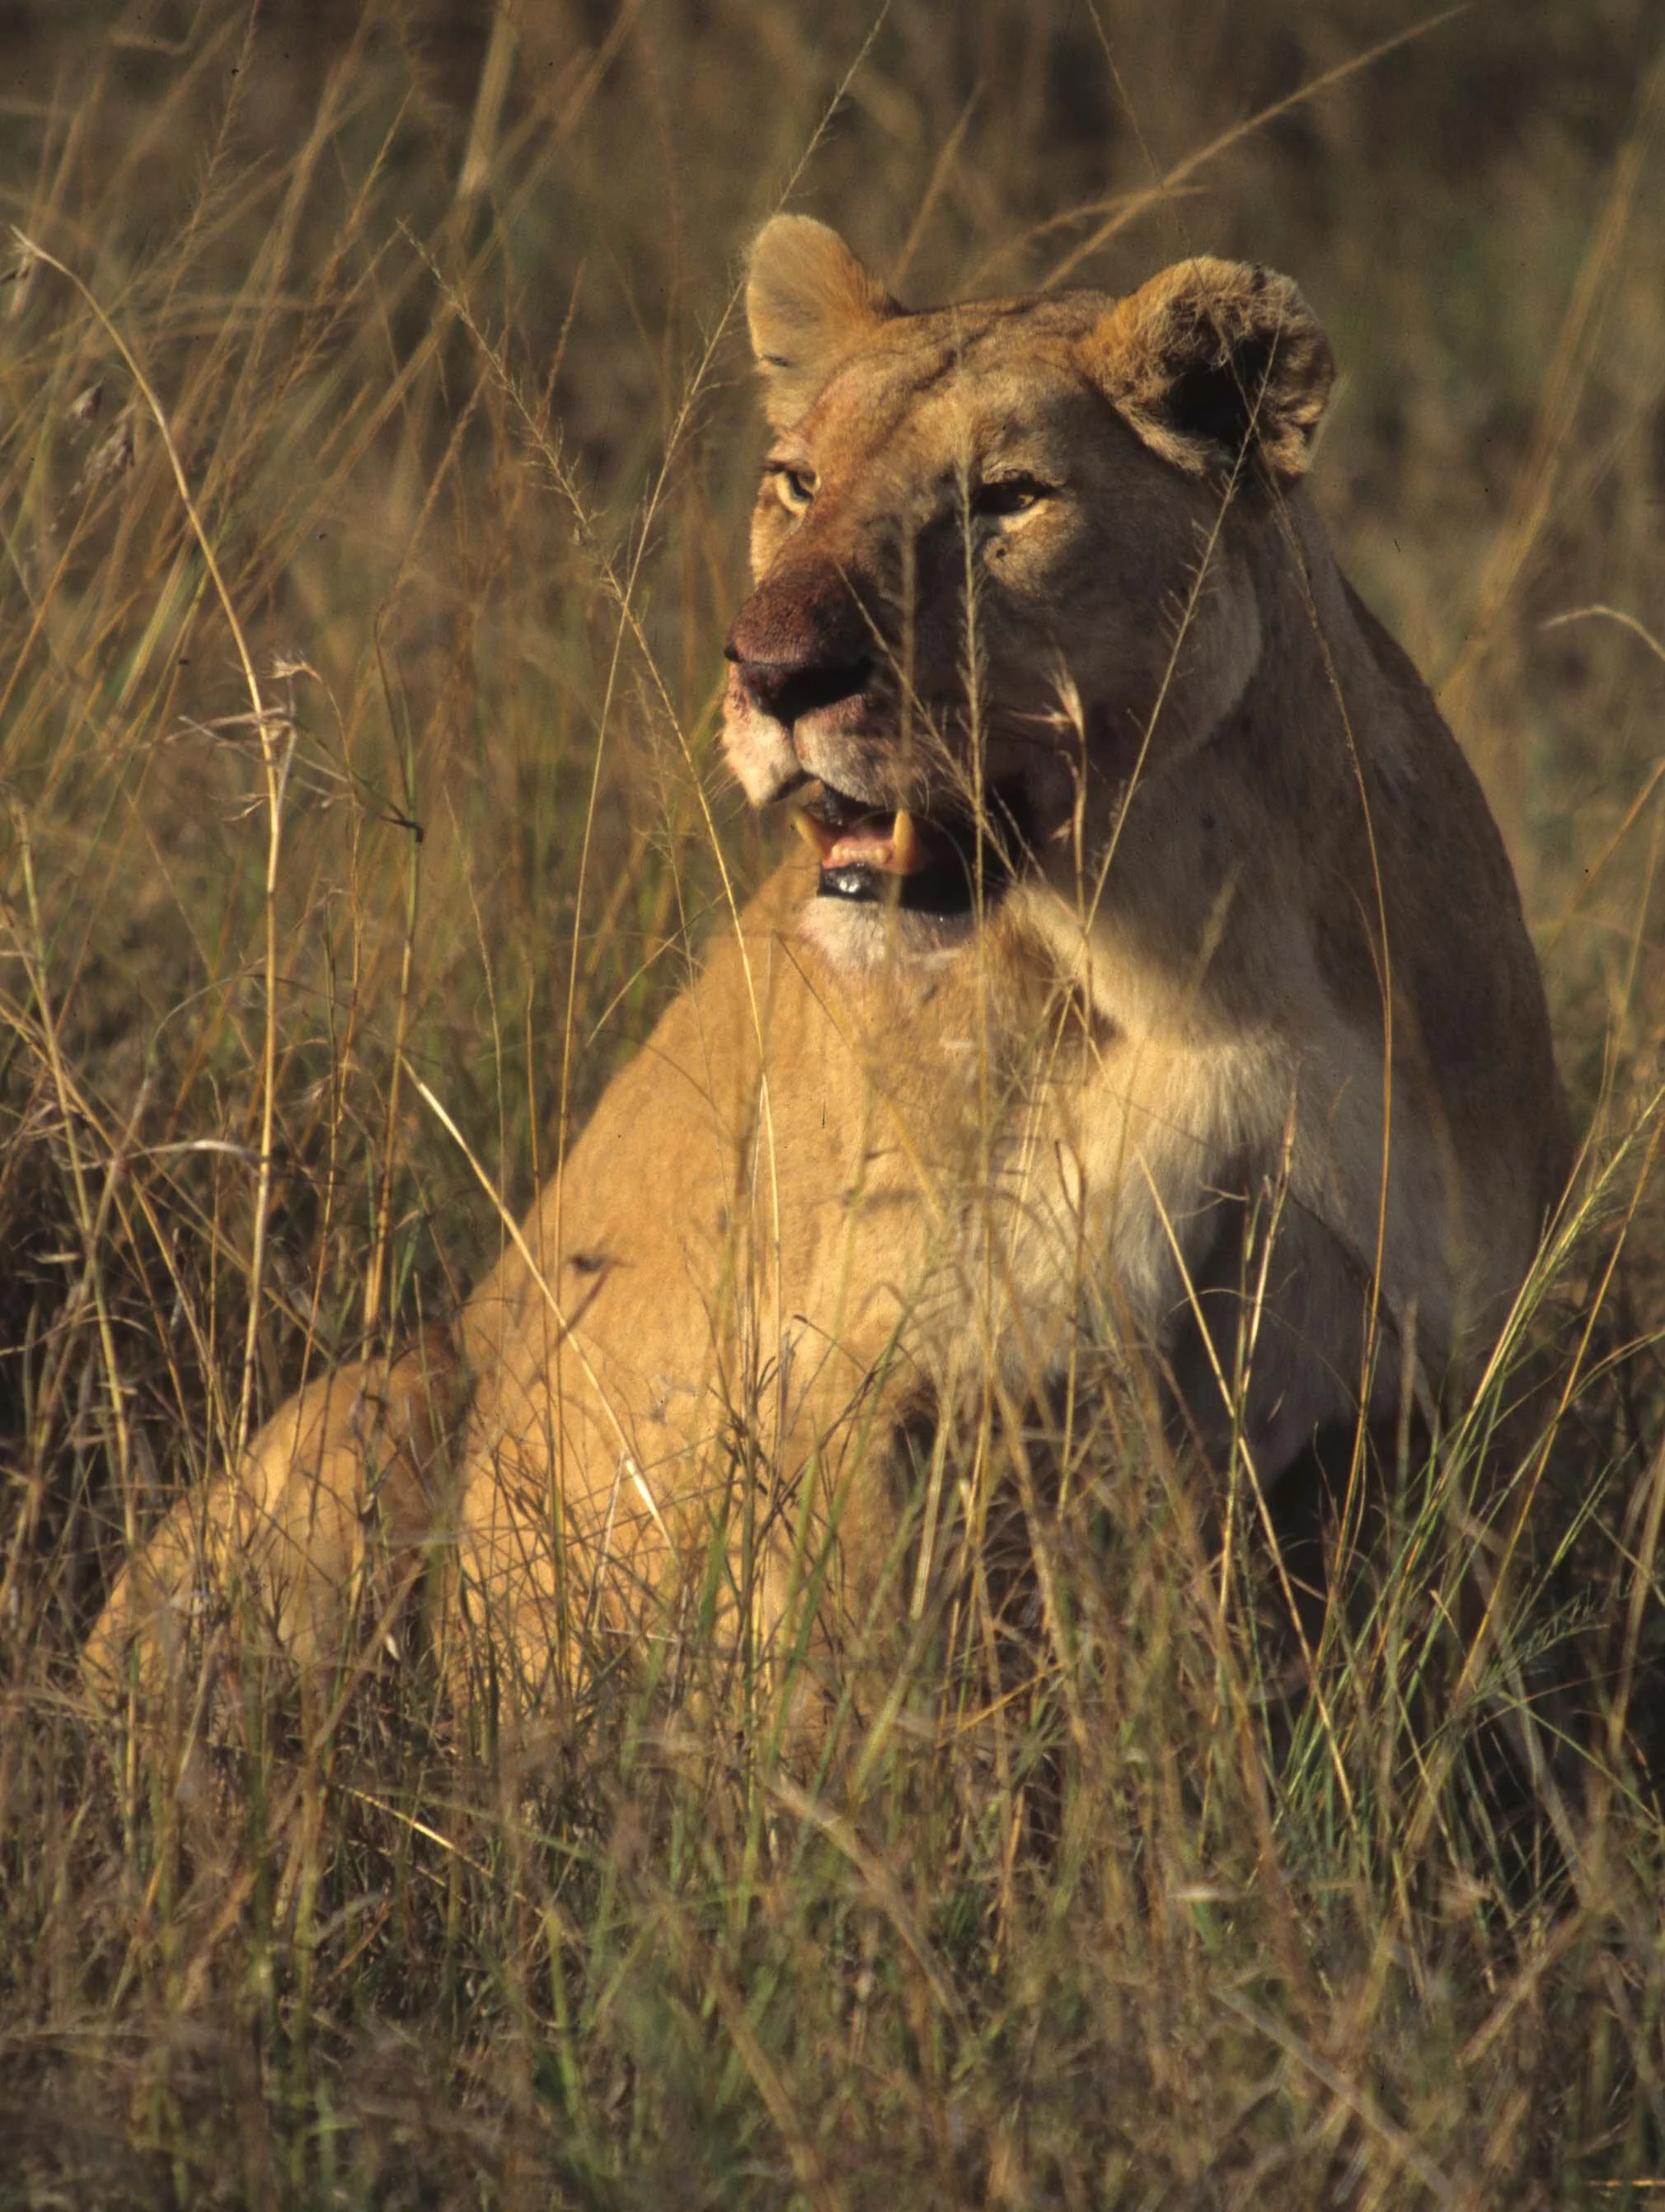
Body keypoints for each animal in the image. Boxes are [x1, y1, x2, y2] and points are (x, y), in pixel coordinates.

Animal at [85, 218, 1567, 1729]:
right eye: (796, 482)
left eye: (1004, 500)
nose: (769, 670)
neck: (1193, 944)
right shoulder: (848, 1379)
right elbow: (838, 1699)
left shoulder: (1405, 1392)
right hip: (382, 1400)